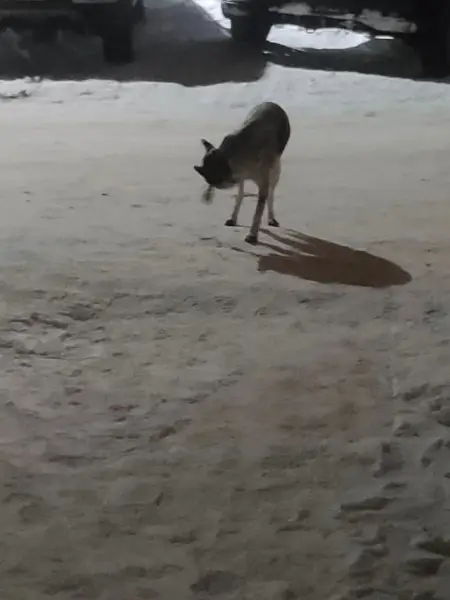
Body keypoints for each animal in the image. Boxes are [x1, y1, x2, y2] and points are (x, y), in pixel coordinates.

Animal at [194, 101, 291, 245]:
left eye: (213, 178)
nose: (211, 188)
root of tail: (272, 103)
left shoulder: (262, 184)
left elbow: (258, 212)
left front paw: (252, 234)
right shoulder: (239, 176)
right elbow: (240, 196)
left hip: (275, 171)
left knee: (271, 193)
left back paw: (271, 217)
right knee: (241, 194)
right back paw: (233, 217)